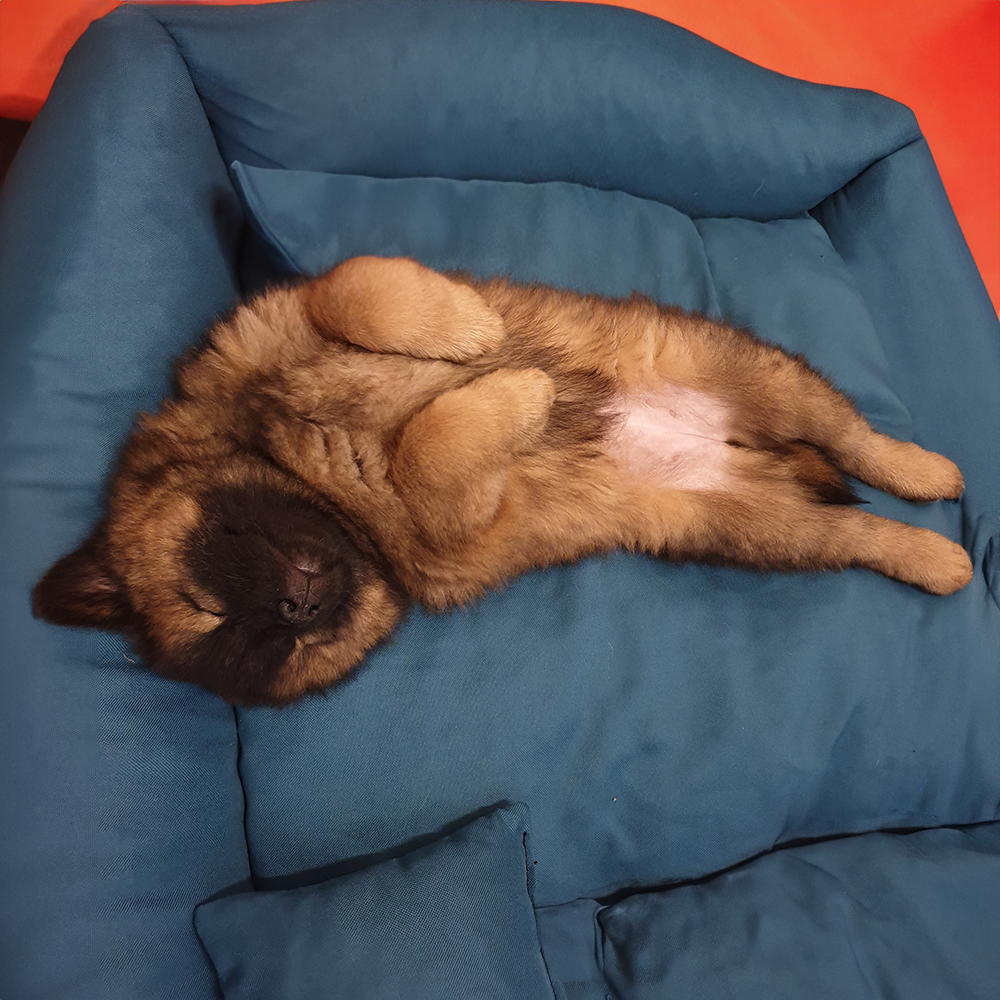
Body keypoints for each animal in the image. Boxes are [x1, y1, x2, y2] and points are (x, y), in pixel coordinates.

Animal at [33, 256, 973, 705]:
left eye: (219, 557)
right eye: (267, 644)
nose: (300, 604)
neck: (317, 482)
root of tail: (742, 446)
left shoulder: (284, 318)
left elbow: (355, 290)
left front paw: (471, 333)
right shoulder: (466, 523)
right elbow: (433, 448)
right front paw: (520, 395)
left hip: (756, 373)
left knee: (852, 435)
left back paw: (925, 469)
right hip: (756, 527)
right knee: (854, 530)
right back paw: (936, 557)